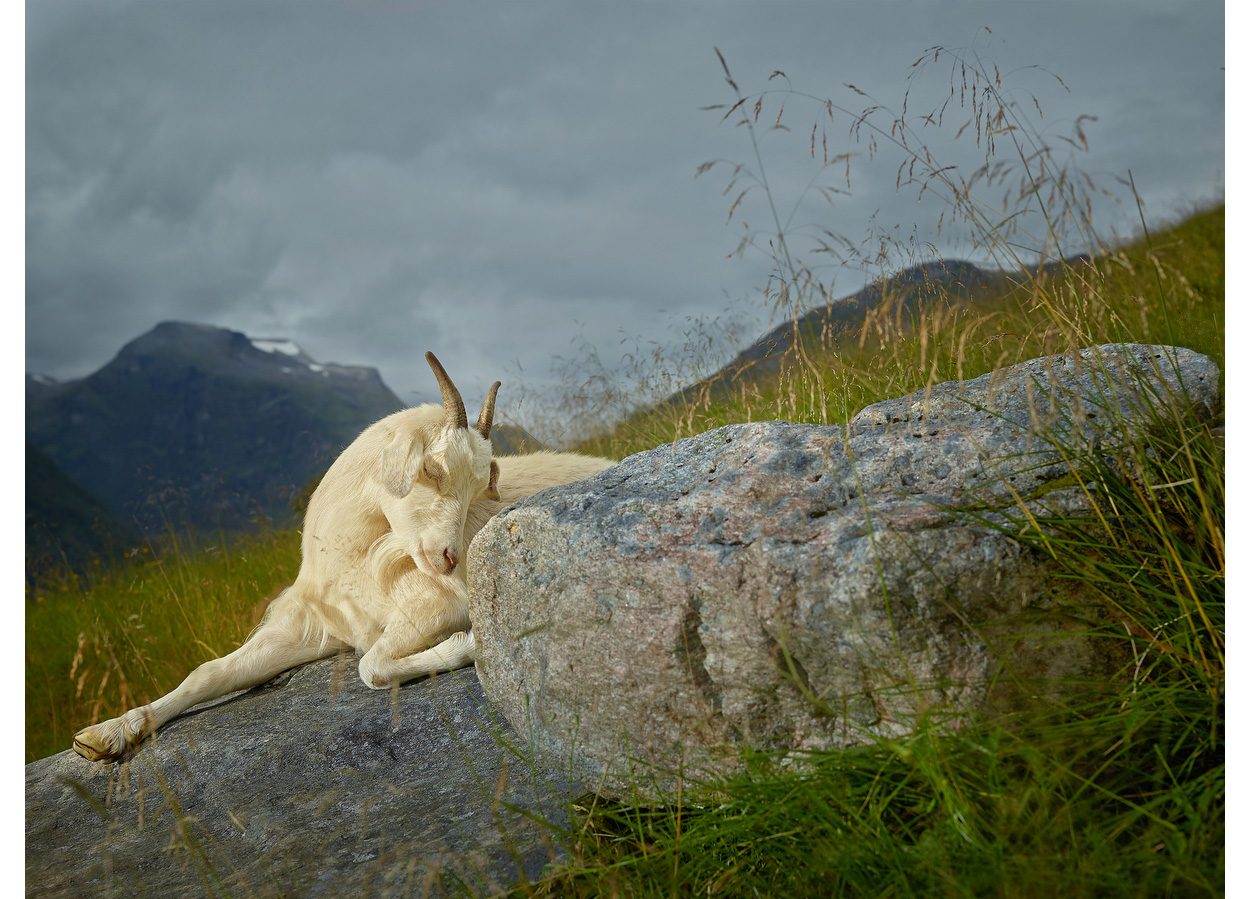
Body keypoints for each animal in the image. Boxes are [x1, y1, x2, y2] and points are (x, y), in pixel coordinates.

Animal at [73, 355, 615, 765]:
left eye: (482, 487)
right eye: (432, 468)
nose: (448, 557)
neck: (353, 564)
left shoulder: (431, 607)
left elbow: (371, 667)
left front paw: (467, 644)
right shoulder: (312, 627)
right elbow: (208, 673)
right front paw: (106, 735)